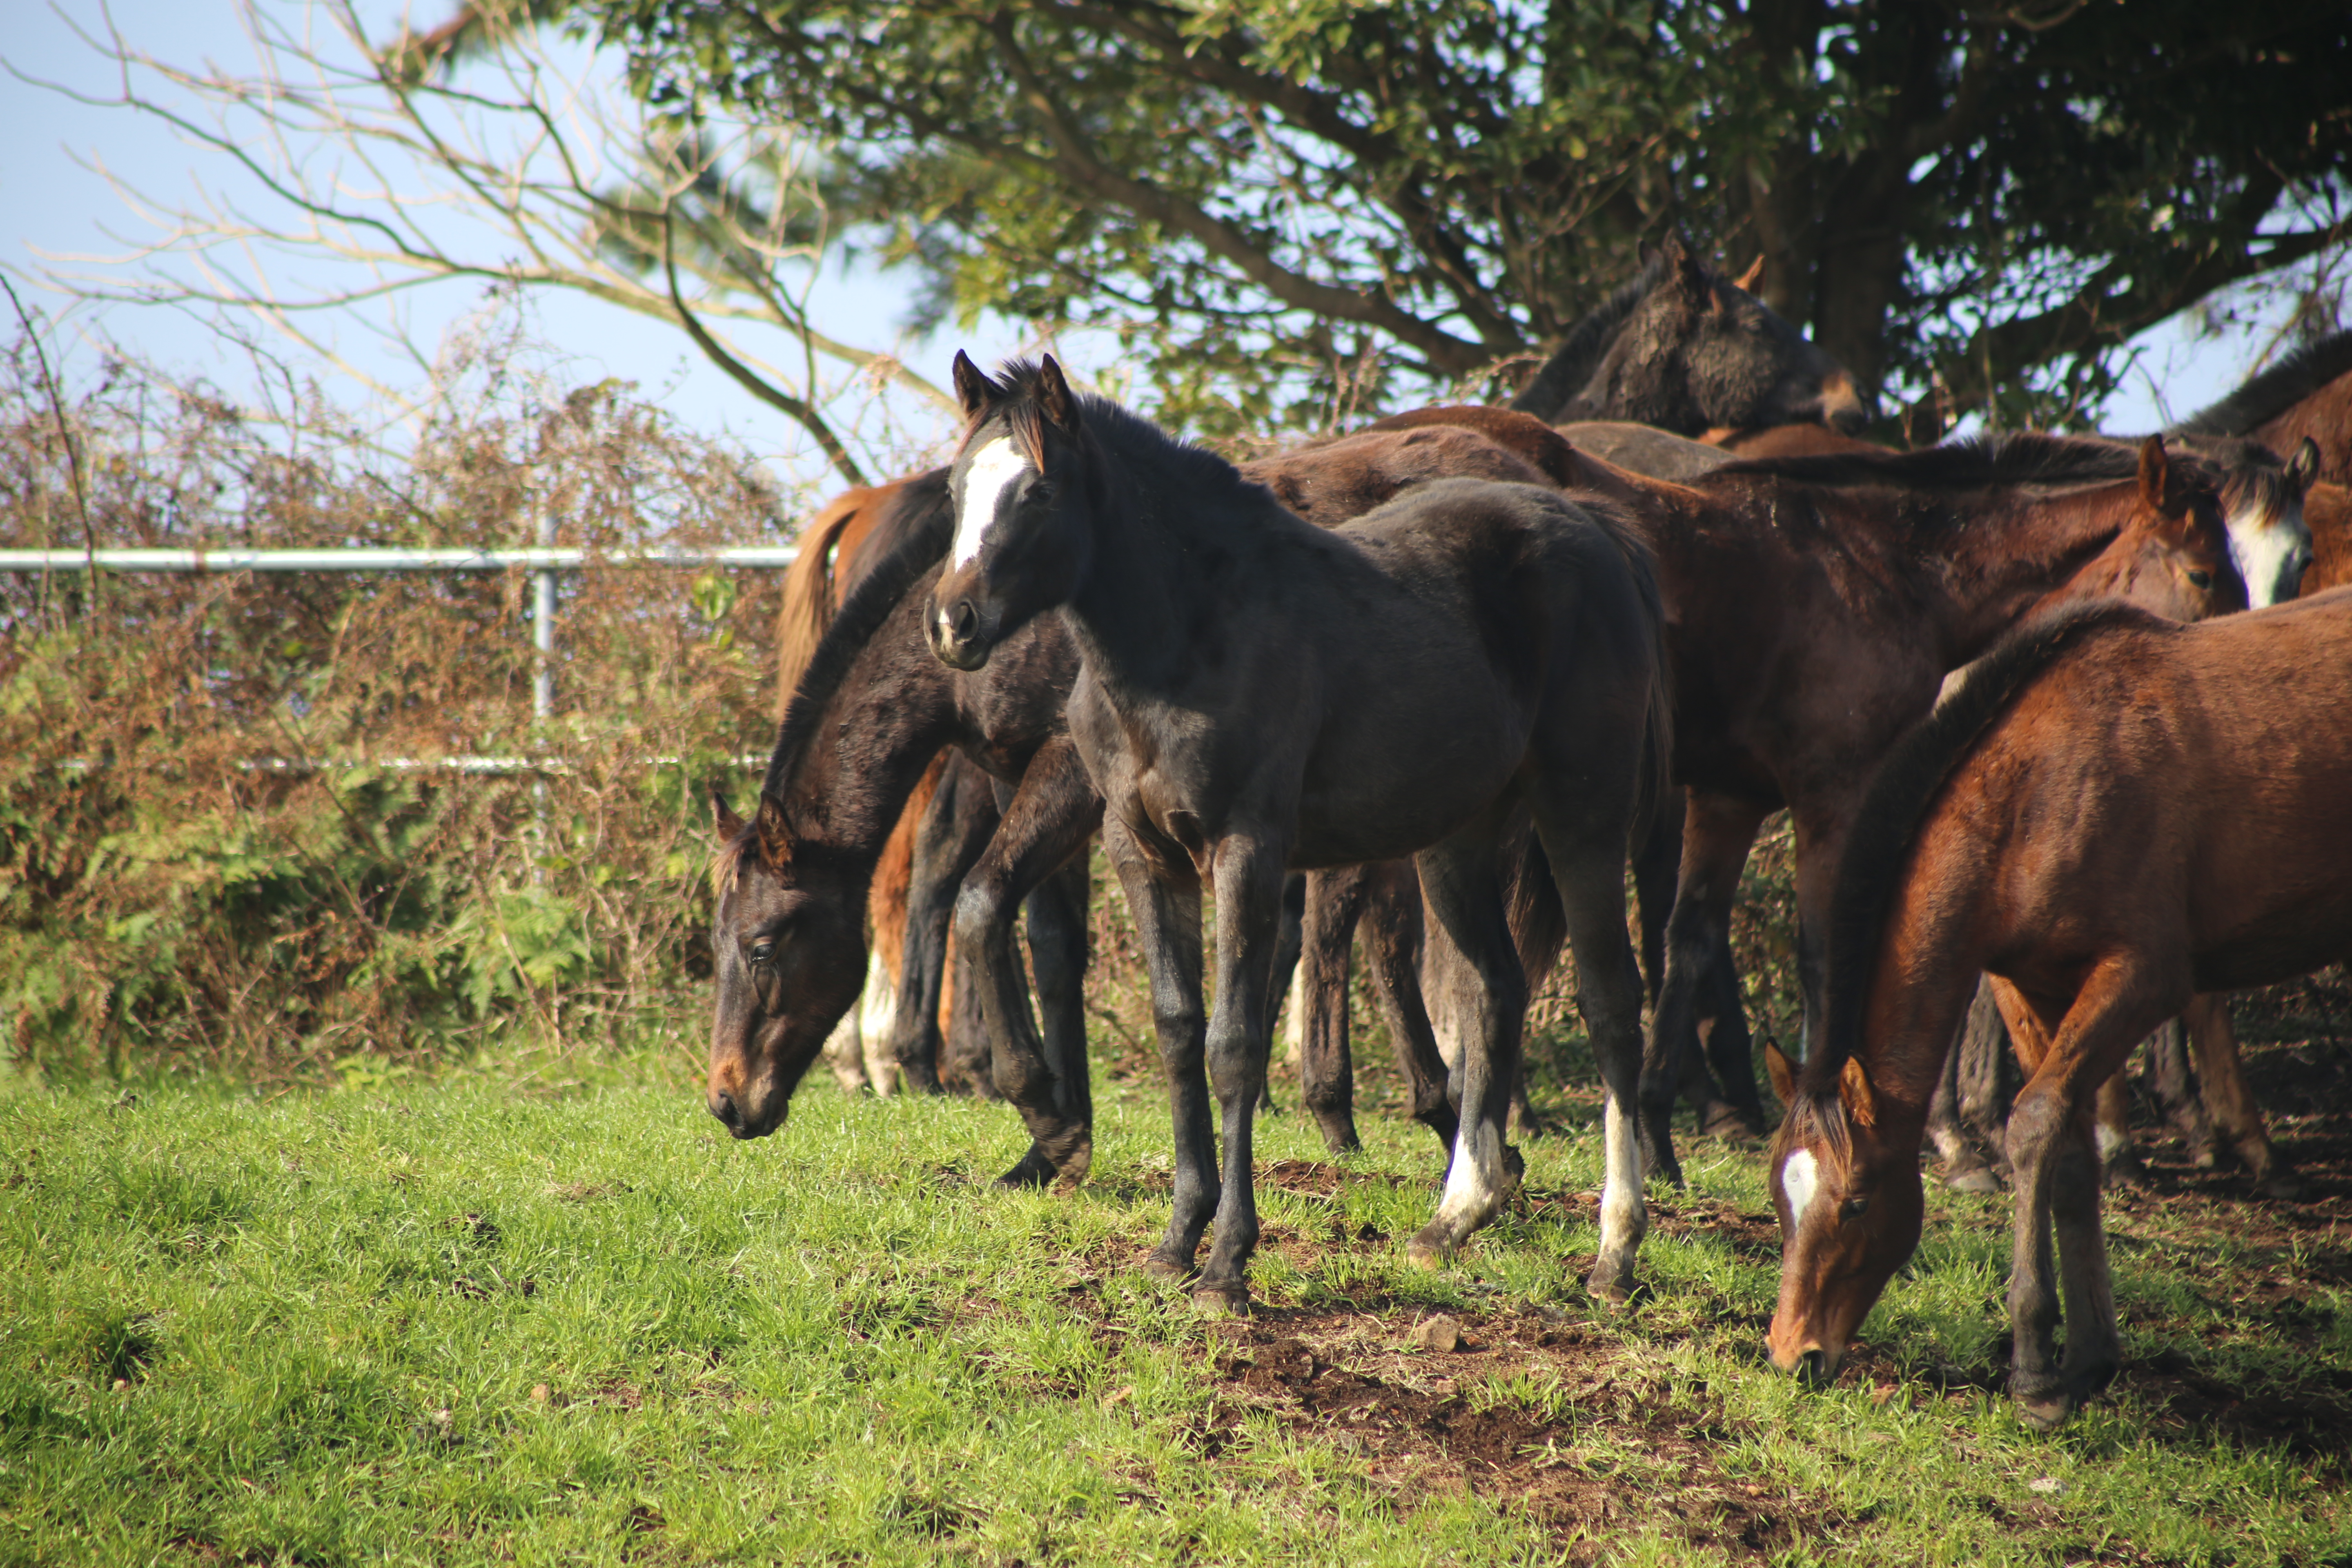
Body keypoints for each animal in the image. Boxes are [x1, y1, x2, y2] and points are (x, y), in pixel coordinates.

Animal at [1768, 592, 2352, 1439]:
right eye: (1779, 1199)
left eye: (1855, 1203)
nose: (1792, 1354)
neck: (2035, 792)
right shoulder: (2032, 986)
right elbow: (2071, 1151)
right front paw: (2084, 1361)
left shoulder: (2141, 978)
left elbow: (2035, 1123)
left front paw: (2035, 1370)